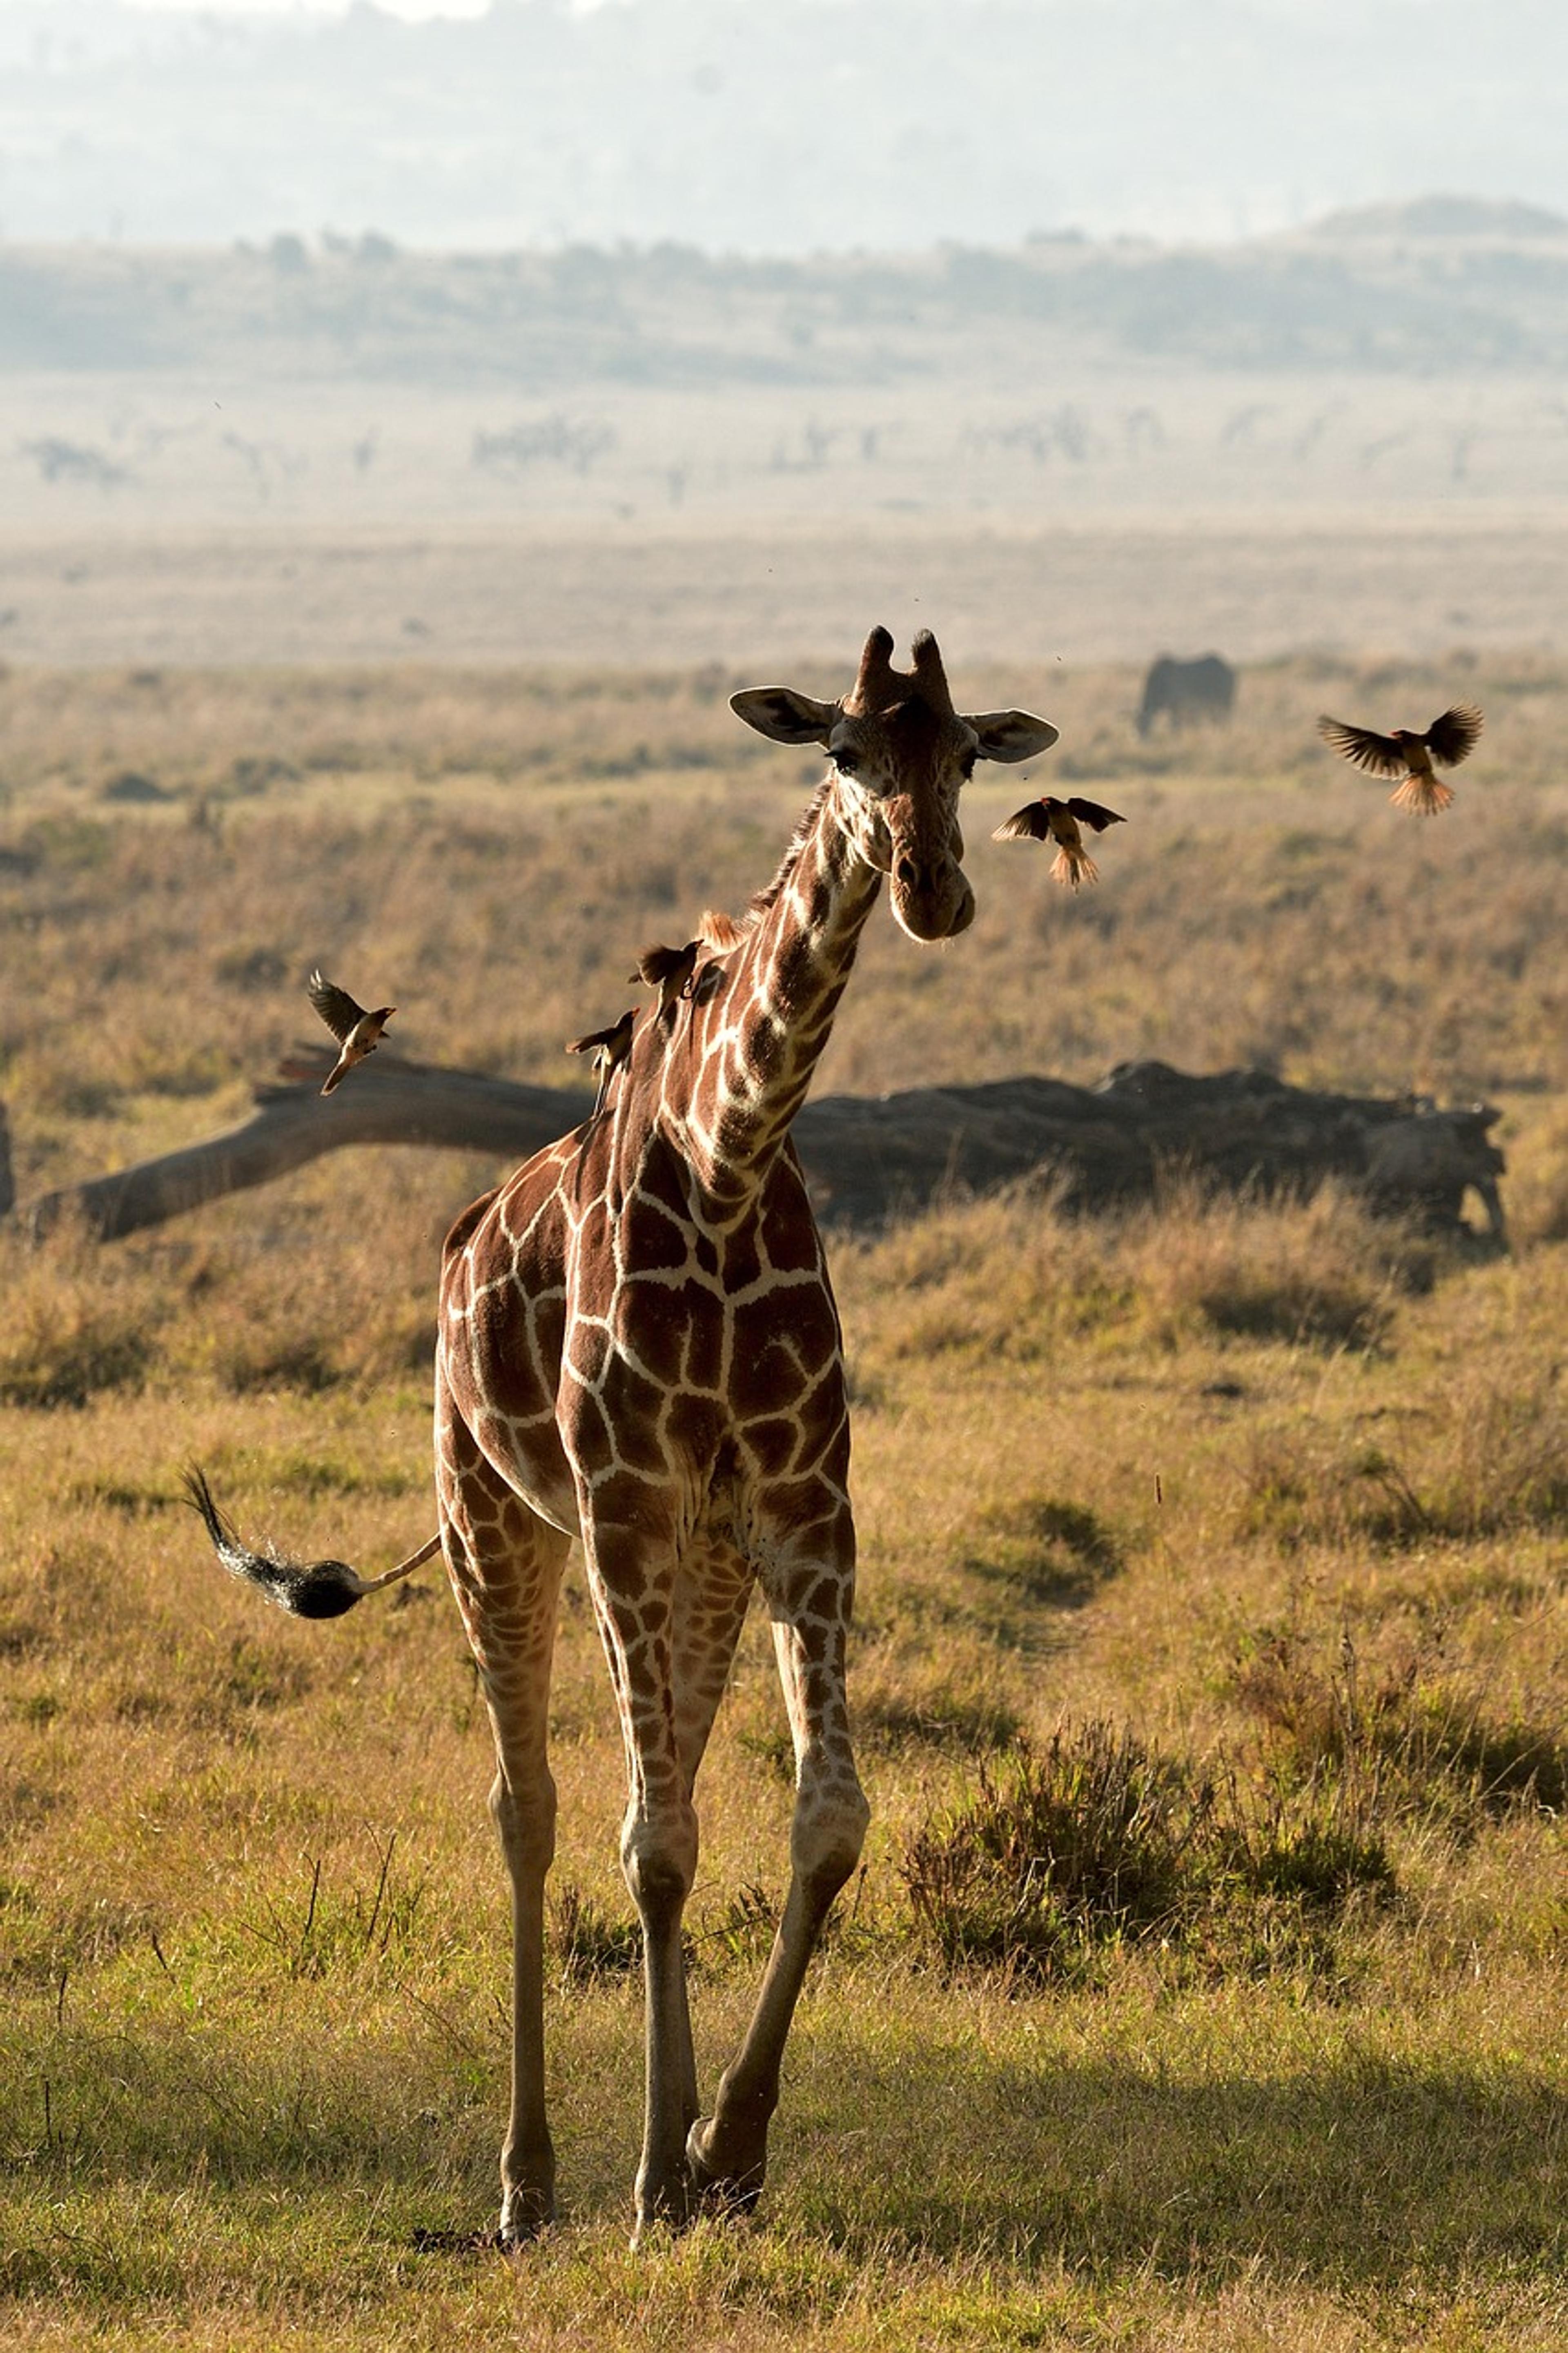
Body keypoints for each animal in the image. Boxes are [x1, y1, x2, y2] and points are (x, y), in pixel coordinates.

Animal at [195, 626, 1059, 2245]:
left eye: (972, 752)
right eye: (843, 748)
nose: (932, 887)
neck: (727, 1166)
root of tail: (463, 1241)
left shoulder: (803, 1512)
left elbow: (820, 1819)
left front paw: (728, 2142)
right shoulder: (622, 1503)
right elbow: (646, 1840)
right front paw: (661, 2165)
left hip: (695, 1565)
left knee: (668, 1779)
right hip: (494, 1516)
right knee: (527, 1807)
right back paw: (529, 2180)